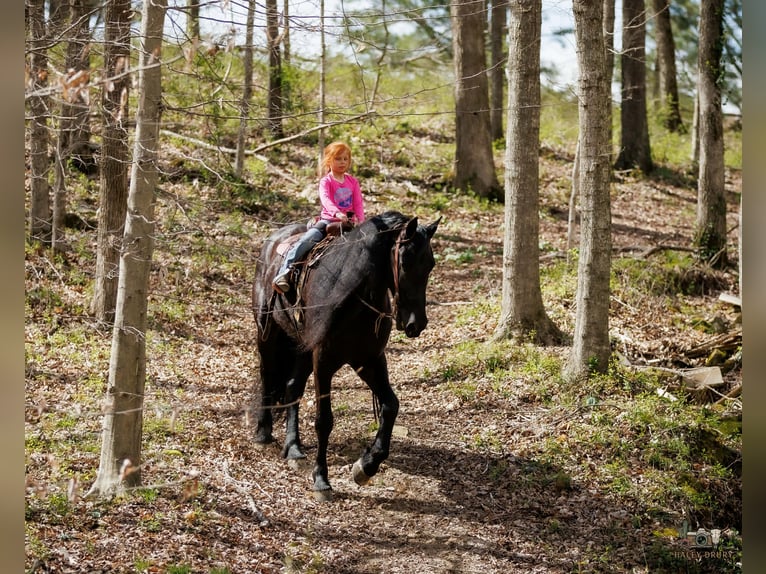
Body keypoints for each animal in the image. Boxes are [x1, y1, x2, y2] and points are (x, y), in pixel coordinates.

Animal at [252, 210, 440, 501]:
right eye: (405, 262)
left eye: (430, 264)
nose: (415, 324)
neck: (354, 296)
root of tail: (273, 240)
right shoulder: (323, 360)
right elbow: (324, 420)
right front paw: (321, 479)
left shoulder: (369, 360)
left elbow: (391, 405)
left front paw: (366, 466)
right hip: (268, 333)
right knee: (267, 377)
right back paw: (263, 433)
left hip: (302, 347)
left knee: (292, 387)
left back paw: (293, 448)